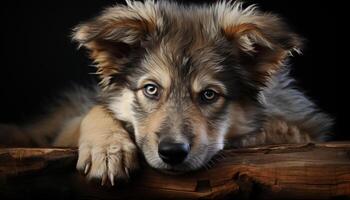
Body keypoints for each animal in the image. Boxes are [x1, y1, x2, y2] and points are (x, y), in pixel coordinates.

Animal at [0, 0, 334, 186]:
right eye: (151, 89)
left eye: (209, 95)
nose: (172, 153)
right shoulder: (66, 130)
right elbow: (93, 112)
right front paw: (108, 149)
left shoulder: (301, 127)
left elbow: (280, 130)